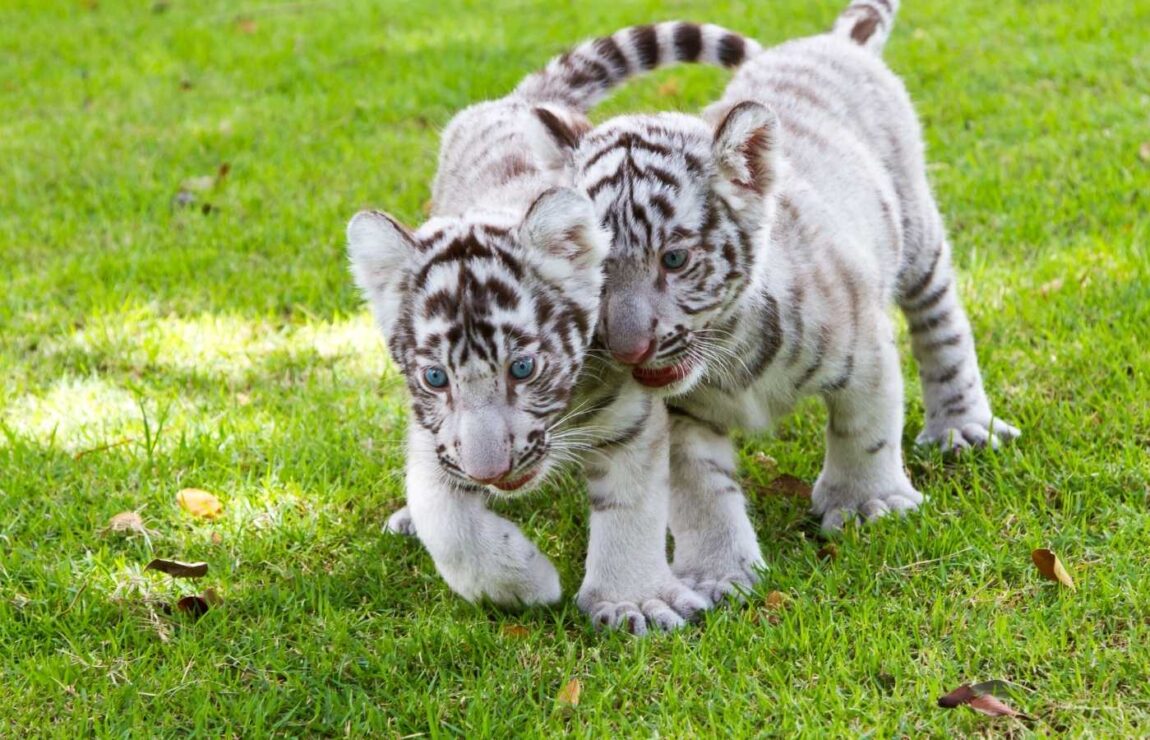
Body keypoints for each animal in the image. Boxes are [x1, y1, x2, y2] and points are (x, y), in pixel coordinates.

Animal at [348, 22, 761, 633]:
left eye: (523, 369)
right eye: (435, 378)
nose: (489, 472)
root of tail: (516, 101)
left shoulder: (632, 419)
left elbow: (631, 509)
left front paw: (633, 599)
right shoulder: (433, 438)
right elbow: (448, 520)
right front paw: (524, 583)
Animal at [532, 0, 1021, 603]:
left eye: (674, 259)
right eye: (595, 269)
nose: (627, 350)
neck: (731, 350)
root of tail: (834, 41)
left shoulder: (866, 349)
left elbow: (865, 431)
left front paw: (868, 504)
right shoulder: (682, 416)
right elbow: (700, 488)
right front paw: (718, 571)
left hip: (917, 234)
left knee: (941, 323)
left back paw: (962, 425)